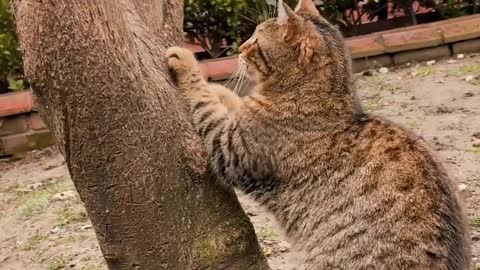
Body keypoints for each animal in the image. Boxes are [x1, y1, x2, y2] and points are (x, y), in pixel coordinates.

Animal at [167, 0, 470, 266]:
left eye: (255, 40)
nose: (239, 47)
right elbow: (229, 101)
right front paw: (219, 89)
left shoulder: (230, 149)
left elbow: (205, 102)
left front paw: (187, 63)